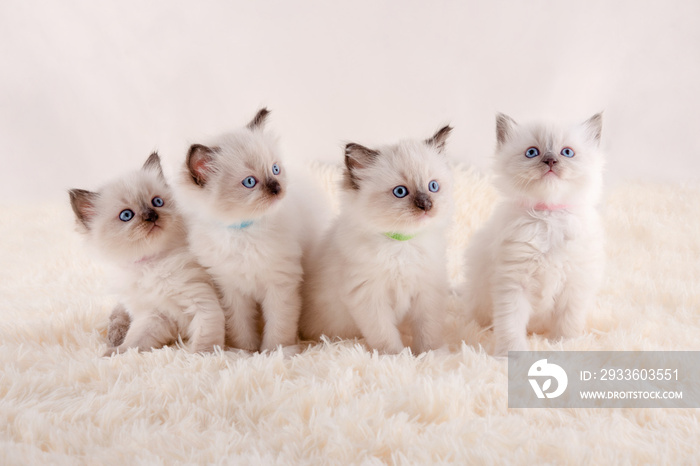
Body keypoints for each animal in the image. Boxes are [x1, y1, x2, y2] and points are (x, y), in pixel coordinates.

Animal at [70, 154, 226, 356]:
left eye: (157, 202)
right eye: (126, 215)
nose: (151, 216)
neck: (151, 264)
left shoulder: (202, 301)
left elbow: (205, 340)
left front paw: (201, 357)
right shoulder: (154, 315)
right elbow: (134, 342)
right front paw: (114, 354)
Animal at [175, 107, 320, 352]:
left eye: (275, 169)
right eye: (250, 182)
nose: (277, 188)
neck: (243, 231)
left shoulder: (280, 285)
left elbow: (279, 324)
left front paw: (275, 351)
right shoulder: (232, 290)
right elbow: (240, 325)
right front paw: (246, 351)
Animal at [300, 125, 454, 354]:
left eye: (433, 186)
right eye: (400, 191)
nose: (426, 205)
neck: (401, 244)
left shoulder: (427, 293)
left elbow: (428, 330)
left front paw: (431, 354)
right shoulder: (369, 296)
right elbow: (385, 335)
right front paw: (397, 357)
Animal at [462, 113, 604, 356]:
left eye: (567, 152)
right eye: (532, 152)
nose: (550, 161)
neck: (548, 216)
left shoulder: (573, 284)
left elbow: (568, 323)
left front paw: (565, 345)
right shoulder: (513, 283)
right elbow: (511, 326)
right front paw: (510, 354)